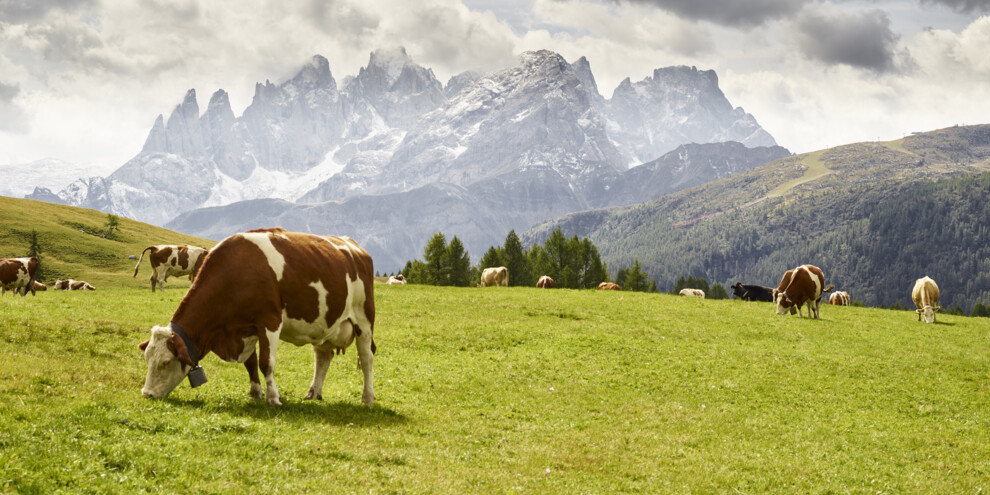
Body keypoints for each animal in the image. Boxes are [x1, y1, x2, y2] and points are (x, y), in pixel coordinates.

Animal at [143, 229, 380, 406]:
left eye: (166, 362)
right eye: (147, 359)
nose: (147, 394)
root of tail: (355, 246)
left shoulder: (270, 322)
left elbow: (266, 362)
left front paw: (273, 398)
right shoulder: (246, 328)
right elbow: (251, 362)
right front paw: (255, 392)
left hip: (364, 319)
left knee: (367, 357)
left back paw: (367, 397)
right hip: (324, 323)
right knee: (322, 357)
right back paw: (313, 393)